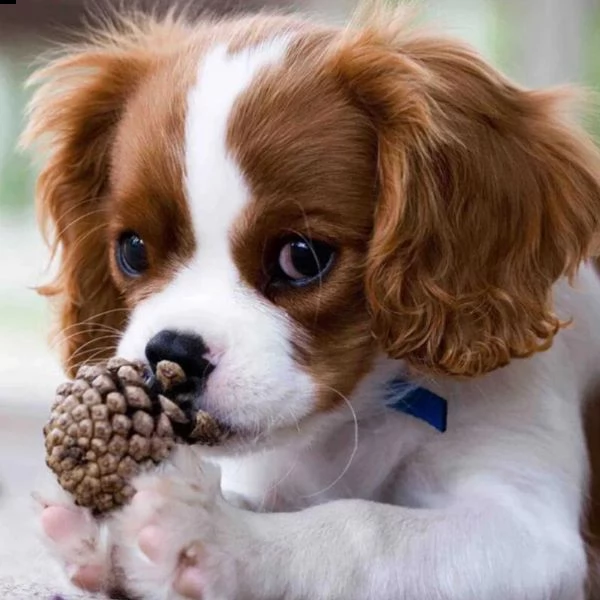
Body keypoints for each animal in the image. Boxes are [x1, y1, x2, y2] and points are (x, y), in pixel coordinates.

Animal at [21, 4, 600, 600]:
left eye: (301, 257)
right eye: (133, 249)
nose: (171, 353)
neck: (362, 414)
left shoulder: (529, 532)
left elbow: (363, 527)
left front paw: (219, 537)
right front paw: (106, 532)